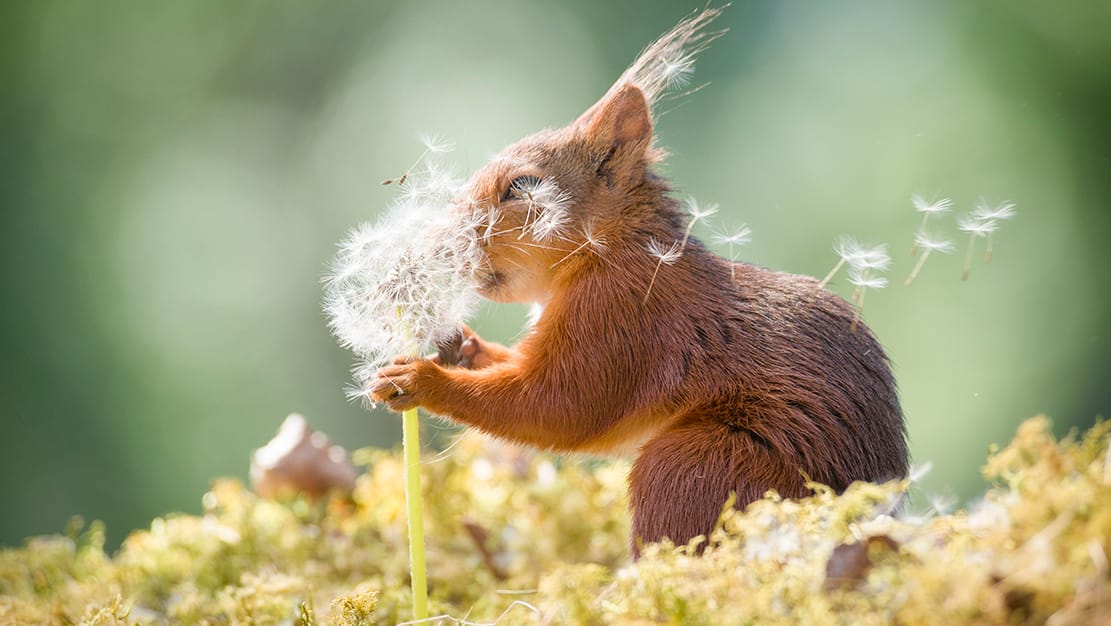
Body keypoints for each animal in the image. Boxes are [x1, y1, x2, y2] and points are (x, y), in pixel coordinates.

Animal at [368, 9, 906, 555]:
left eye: (521, 187)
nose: (439, 242)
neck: (608, 251)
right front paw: (461, 346)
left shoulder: (623, 315)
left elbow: (558, 406)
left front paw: (421, 380)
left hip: (698, 465)